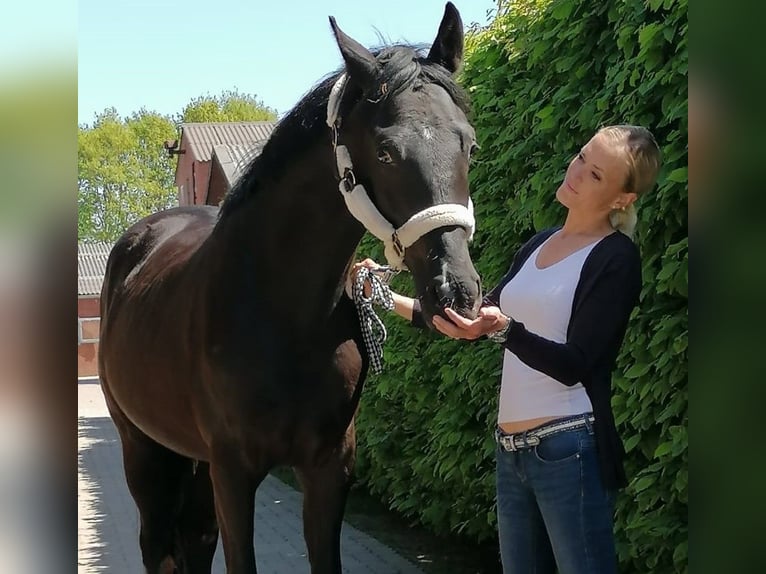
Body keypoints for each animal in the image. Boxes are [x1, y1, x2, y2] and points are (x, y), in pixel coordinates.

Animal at [96, 3, 480, 572]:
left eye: (469, 143)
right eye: (386, 151)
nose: (455, 291)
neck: (283, 314)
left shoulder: (329, 469)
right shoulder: (233, 473)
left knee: (194, 540)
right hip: (142, 449)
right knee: (157, 544)